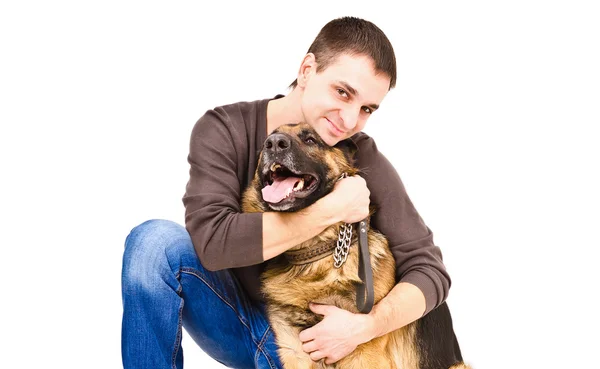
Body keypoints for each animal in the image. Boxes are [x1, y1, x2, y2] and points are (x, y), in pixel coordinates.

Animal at [240, 123, 468, 368]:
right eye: (268, 139)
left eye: (311, 139)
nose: (273, 143)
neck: (315, 257)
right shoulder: (295, 352)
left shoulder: (362, 351)